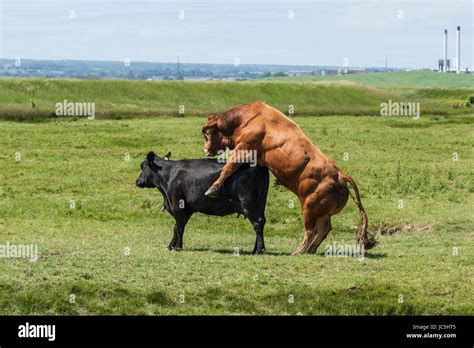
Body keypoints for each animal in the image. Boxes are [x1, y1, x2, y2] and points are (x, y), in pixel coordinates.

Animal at [137, 151, 270, 254]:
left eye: (142, 166)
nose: (137, 181)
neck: (170, 174)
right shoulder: (187, 208)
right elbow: (177, 226)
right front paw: (171, 245)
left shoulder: (177, 204)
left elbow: (179, 227)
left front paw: (177, 247)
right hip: (260, 203)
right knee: (261, 222)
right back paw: (255, 249)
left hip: (248, 203)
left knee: (257, 223)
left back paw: (259, 250)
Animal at [202, 100, 376, 256]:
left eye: (209, 134)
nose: (205, 150)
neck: (248, 118)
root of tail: (340, 175)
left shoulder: (243, 149)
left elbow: (228, 168)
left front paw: (213, 188)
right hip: (322, 213)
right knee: (324, 229)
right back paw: (310, 250)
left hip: (308, 208)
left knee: (311, 231)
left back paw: (299, 251)